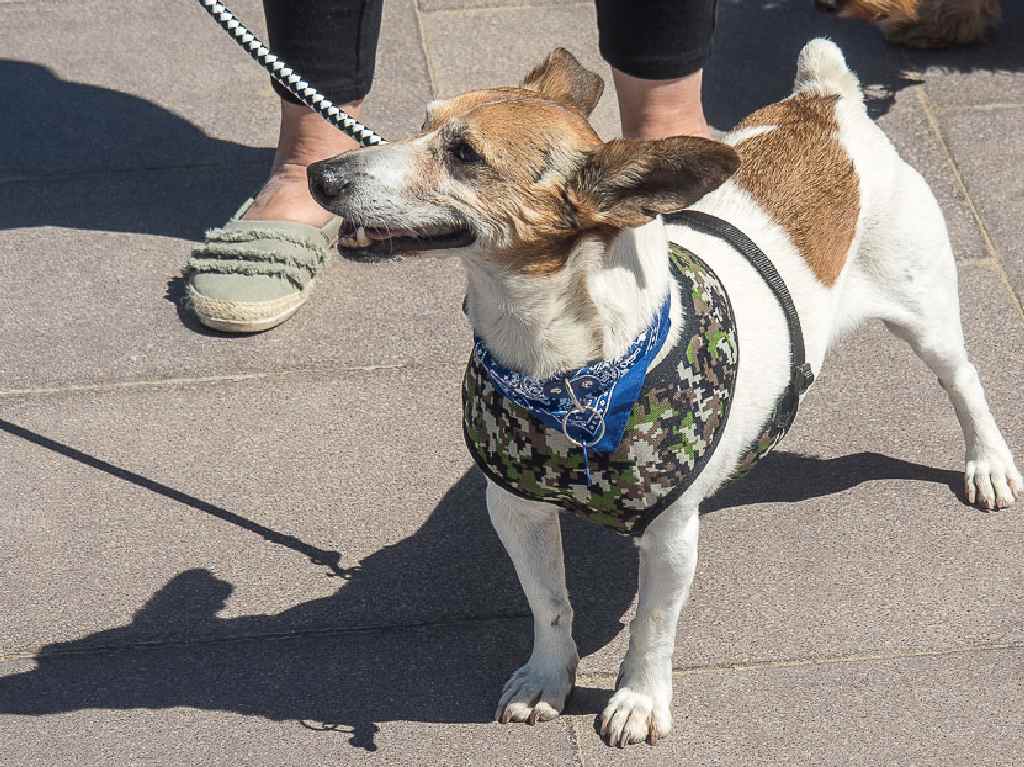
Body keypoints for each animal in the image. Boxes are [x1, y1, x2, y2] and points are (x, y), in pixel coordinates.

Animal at [305, 38, 1024, 745]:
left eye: (464, 155)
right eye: (423, 123)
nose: (321, 176)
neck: (568, 378)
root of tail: (825, 102)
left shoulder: (672, 535)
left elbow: (654, 624)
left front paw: (638, 701)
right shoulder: (515, 509)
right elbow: (549, 603)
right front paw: (547, 677)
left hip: (925, 311)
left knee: (963, 380)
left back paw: (988, 464)